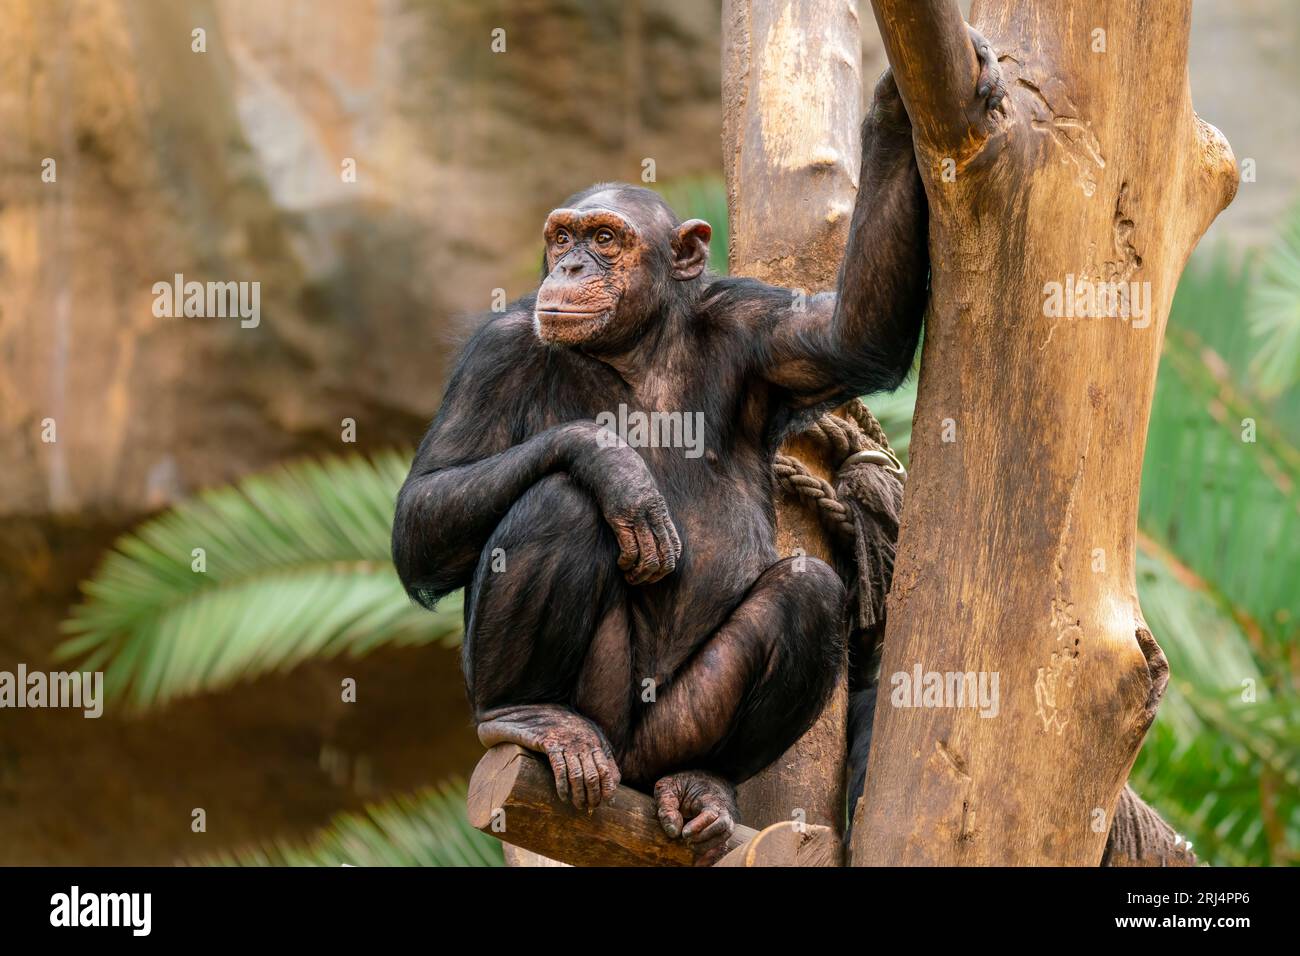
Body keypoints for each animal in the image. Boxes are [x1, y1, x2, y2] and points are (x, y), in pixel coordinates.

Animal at [395, 37, 1003, 863]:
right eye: (562, 237)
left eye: (606, 238)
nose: (570, 268)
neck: (634, 346)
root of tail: (624, 768)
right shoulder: (496, 352)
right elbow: (422, 514)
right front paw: (613, 463)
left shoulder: (758, 330)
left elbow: (852, 334)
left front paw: (891, 101)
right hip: (597, 717)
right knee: (558, 501)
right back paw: (524, 716)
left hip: (671, 729)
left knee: (810, 591)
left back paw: (701, 783)